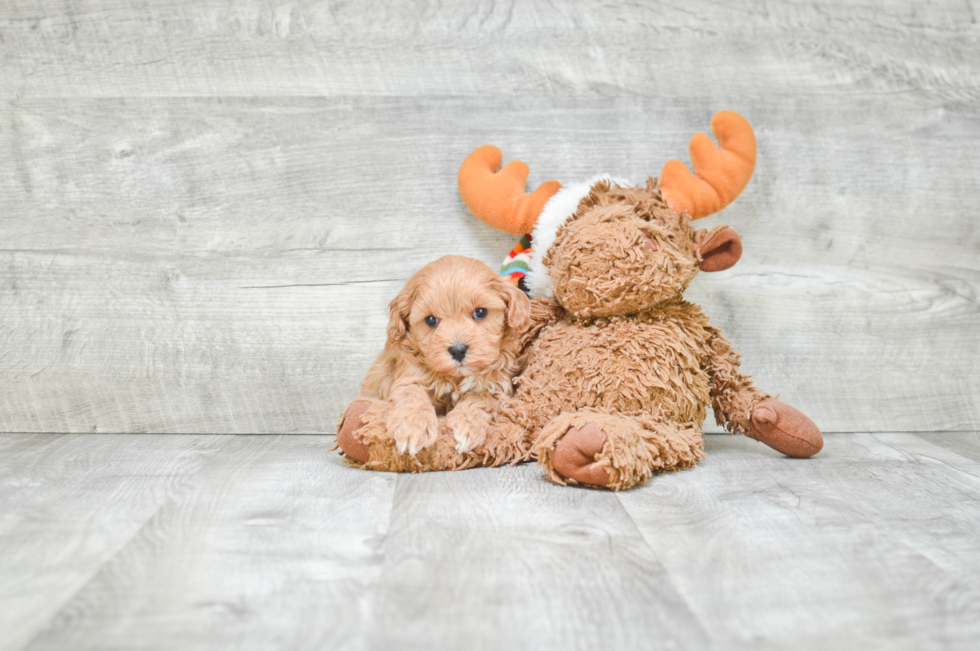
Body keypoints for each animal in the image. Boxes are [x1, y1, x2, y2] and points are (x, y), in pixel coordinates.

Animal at [344, 255, 528, 458]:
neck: (455, 377)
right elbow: (412, 394)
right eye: (431, 320)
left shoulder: (498, 387)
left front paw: (466, 425)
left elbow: (480, 397)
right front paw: (413, 428)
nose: (458, 350)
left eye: (480, 312)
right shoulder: (409, 375)